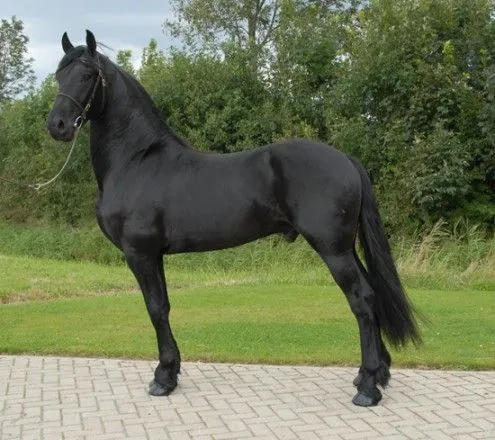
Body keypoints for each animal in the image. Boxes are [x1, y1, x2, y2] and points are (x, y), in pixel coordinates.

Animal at [46, 31, 420, 408]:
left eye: (88, 75)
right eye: (59, 76)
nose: (57, 126)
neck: (137, 161)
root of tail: (346, 159)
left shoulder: (140, 253)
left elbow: (155, 309)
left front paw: (163, 378)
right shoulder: (155, 255)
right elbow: (164, 306)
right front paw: (172, 372)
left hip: (333, 250)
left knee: (362, 299)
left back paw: (368, 388)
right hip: (346, 247)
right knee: (371, 294)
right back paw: (374, 374)